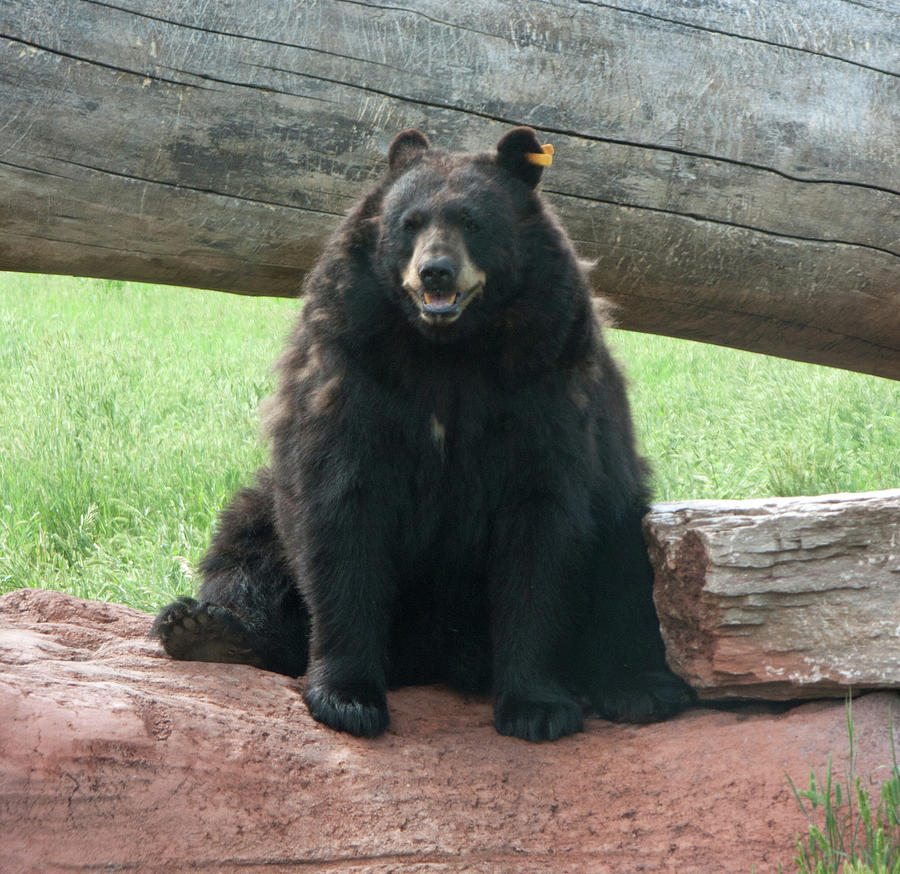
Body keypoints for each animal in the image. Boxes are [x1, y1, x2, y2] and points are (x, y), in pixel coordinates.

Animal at [151, 126, 692, 740]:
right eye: (410, 222)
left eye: (472, 221)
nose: (436, 271)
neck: (447, 350)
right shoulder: (352, 374)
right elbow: (339, 514)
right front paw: (347, 698)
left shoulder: (547, 385)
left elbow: (542, 533)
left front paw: (538, 707)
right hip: (266, 505)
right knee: (247, 542)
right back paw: (207, 629)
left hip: (624, 504)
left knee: (630, 569)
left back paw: (639, 689)